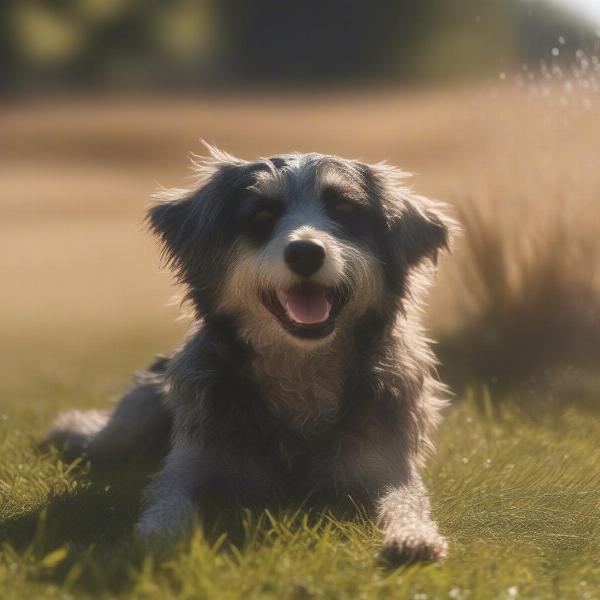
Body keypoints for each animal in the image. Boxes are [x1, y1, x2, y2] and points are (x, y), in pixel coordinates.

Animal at [47, 145, 458, 564]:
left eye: (344, 209)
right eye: (262, 215)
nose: (305, 252)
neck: (300, 368)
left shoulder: (385, 462)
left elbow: (407, 499)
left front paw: (414, 535)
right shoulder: (190, 461)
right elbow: (167, 496)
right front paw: (159, 533)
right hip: (134, 416)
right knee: (104, 439)